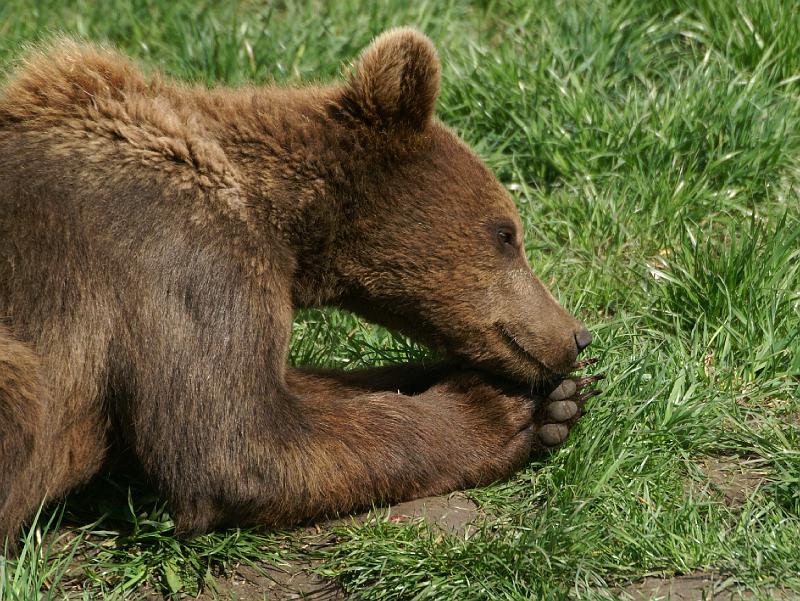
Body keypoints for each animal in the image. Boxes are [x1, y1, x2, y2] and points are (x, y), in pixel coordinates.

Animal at [0, 27, 600, 544]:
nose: (577, 335)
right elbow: (239, 443)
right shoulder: (184, 253)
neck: (281, 221)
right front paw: (499, 409)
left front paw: (555, 401)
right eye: (506, 234)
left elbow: (299, 387)